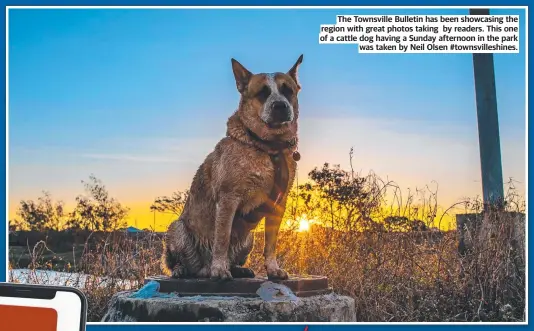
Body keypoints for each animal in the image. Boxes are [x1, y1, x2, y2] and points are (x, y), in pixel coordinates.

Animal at [163, 54, 304, 280]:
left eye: (287, 90)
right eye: (262, 93)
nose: (280, 106)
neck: (269, 147)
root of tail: (202, 269)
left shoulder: (278, 204)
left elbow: (271, 244)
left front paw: (273, 269)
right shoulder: (229, 198)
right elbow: (222, 239)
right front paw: (219, 269)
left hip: (248, 239)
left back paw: (239, 269)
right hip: (177, 229)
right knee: (179, 261)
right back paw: (183, 269)